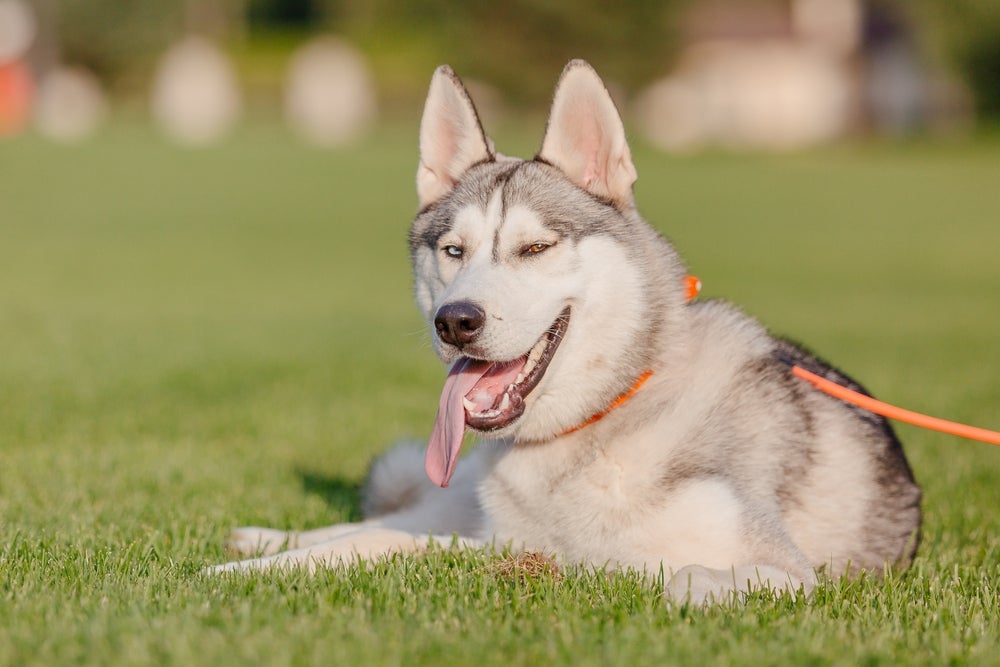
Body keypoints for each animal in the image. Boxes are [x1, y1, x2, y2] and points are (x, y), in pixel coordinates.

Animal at [213, 61, 920, 604]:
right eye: (453, 251)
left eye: (535, 248)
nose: (456, 321)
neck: (602, 419)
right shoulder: (500, 538)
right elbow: (386, 539)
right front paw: (244, 570)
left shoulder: (788, 571)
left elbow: (677, 576)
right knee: (392, 516)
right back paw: (258, 540)